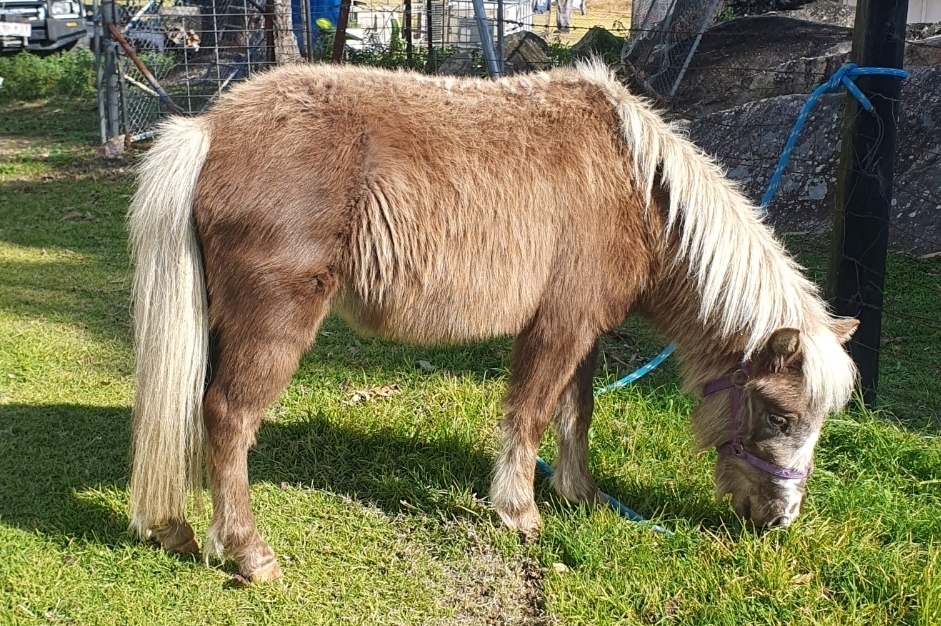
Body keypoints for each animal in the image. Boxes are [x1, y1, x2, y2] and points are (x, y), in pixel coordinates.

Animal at [127, 60, 859, 582]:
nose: (778, 520)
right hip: (272, 323)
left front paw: (579, 493)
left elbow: (575, 412)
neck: (637, 191)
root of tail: (209, 131)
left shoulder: (584, 330)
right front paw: (520, 512)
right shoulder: (558, 326)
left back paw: (174, 526)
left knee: (190, 407)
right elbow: (530, 415)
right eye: (779, 415)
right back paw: (249, 553)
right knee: (228, 417)